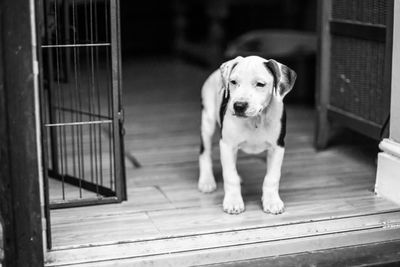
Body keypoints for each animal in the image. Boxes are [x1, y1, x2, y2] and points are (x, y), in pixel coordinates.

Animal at [198, 56, 296, 216]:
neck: (255, 119)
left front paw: (272, 201)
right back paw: (206, 181)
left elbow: (272, 177)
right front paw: (233, 201)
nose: (239, 106)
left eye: (260, 84)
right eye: (233, 82)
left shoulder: (278, 147)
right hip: (207, 121)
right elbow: (230, 176)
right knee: (204, 152)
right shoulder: (227, 145)